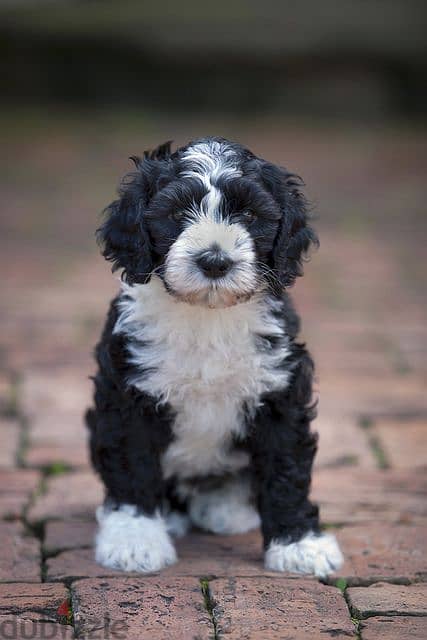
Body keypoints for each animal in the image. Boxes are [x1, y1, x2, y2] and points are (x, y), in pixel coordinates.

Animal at [86, 138, 344, 576]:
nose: (214, 262)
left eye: (250, 215)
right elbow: (132, 467)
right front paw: (135, 540)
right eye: (176, 214)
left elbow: (286, 467)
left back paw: (225, 508)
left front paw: (298, 543)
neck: (207, 316)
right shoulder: (128, 394)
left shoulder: (279, 390)